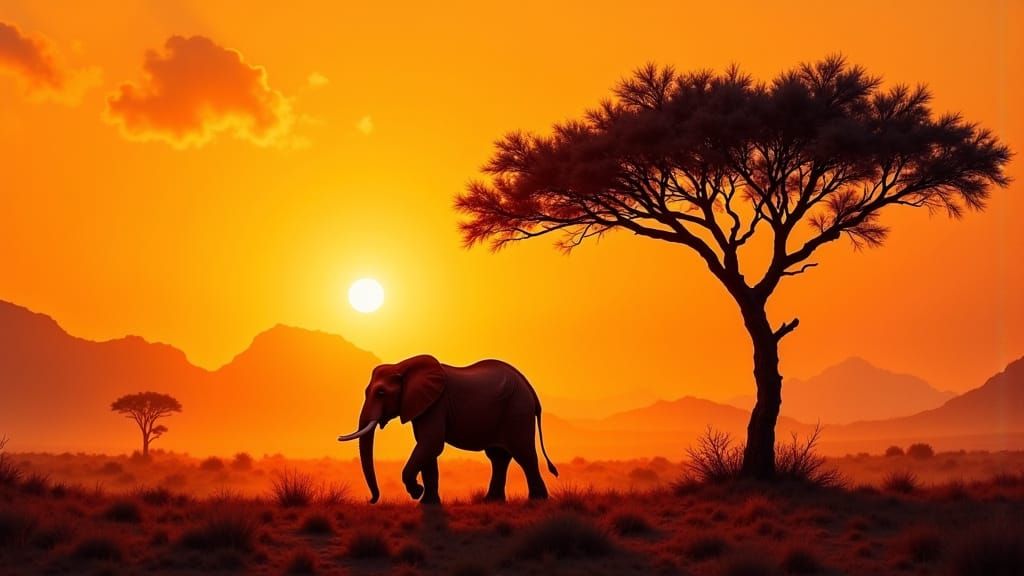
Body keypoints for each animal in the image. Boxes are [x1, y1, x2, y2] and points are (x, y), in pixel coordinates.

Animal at [337, 354, 558, 504]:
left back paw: (537, 500)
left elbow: (430, 444)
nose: (371, 500)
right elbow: (427, 448)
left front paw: (417, 492)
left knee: (524, 454)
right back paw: (491, 501)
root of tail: (531, 389)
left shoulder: (436, 403)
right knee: (498, 457)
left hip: (517, 410)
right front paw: (427, 502)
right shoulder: (424, 405)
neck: (403, 366)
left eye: (381, 393)